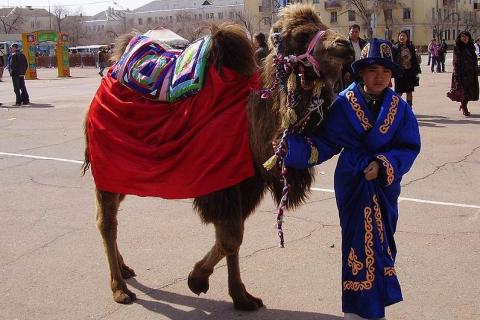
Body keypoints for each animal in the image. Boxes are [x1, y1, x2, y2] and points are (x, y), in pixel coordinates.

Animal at [82, 3, 352, 312]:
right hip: (106, 167)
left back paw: (125, 270)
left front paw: (242, 296)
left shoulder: (243, 183)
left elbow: (234, 238)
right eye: (303, 34)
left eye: (323, 24)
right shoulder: (221, 183)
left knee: (112, 216)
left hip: (122, 173)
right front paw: (197, 279)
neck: (249, 124)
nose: (346, 45)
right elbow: (231, 237)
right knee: (106, 221)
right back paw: (119, 289)